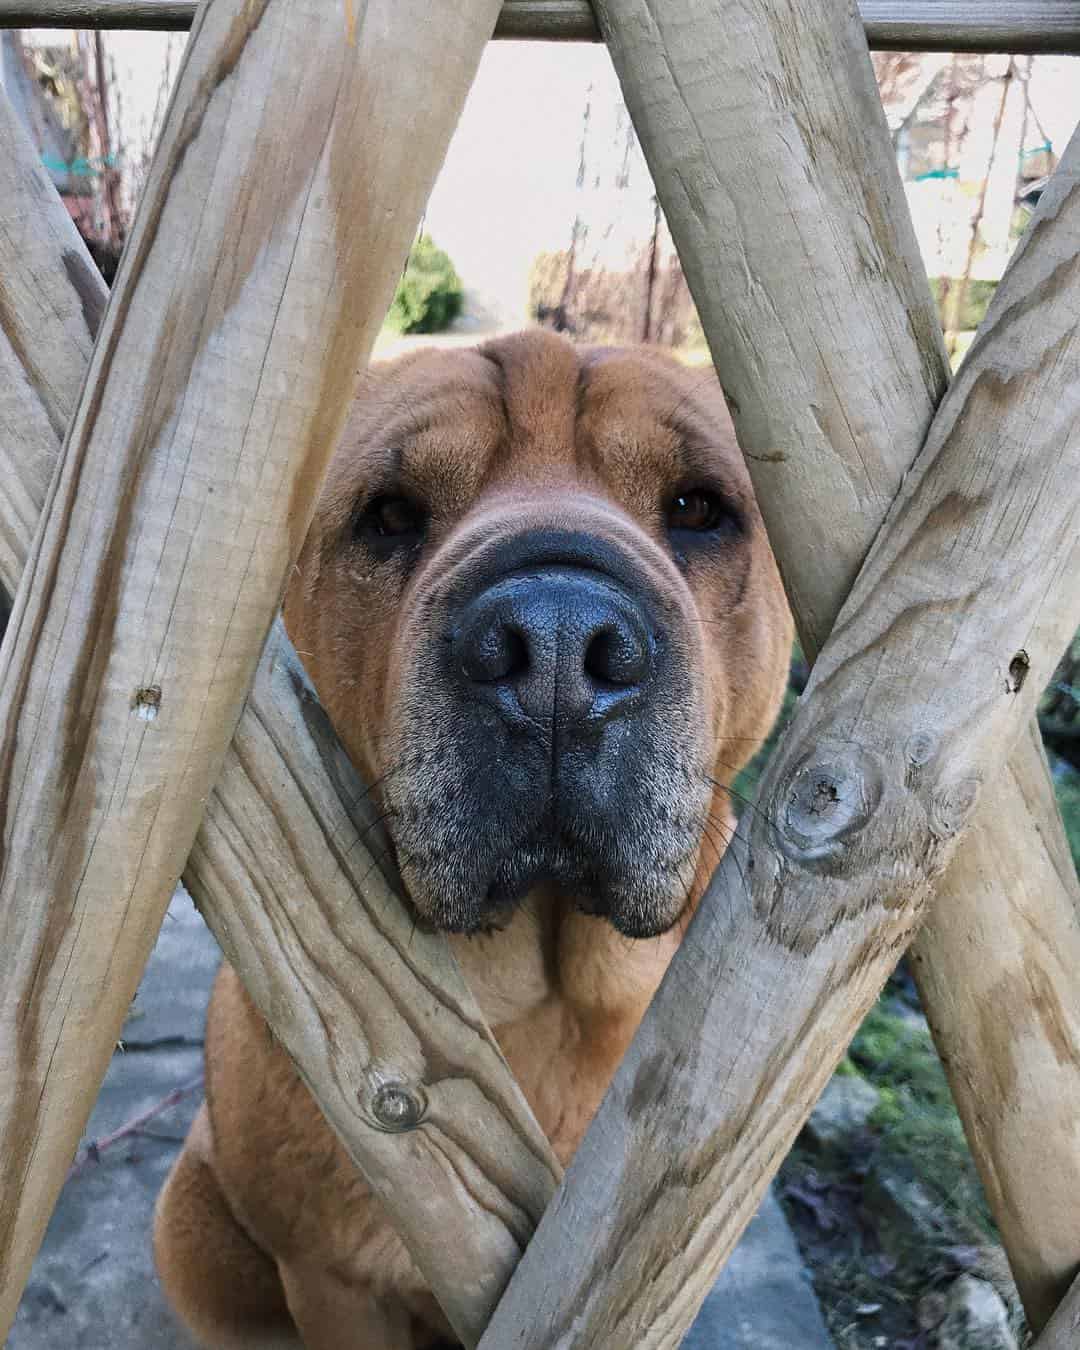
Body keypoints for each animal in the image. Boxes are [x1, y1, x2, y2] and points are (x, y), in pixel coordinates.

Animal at [153, 329, 793, 1350]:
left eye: (698, 508)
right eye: (389, 515)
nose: (558, 644)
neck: (534, 1009)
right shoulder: (335, 1283)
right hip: (188, 1223)